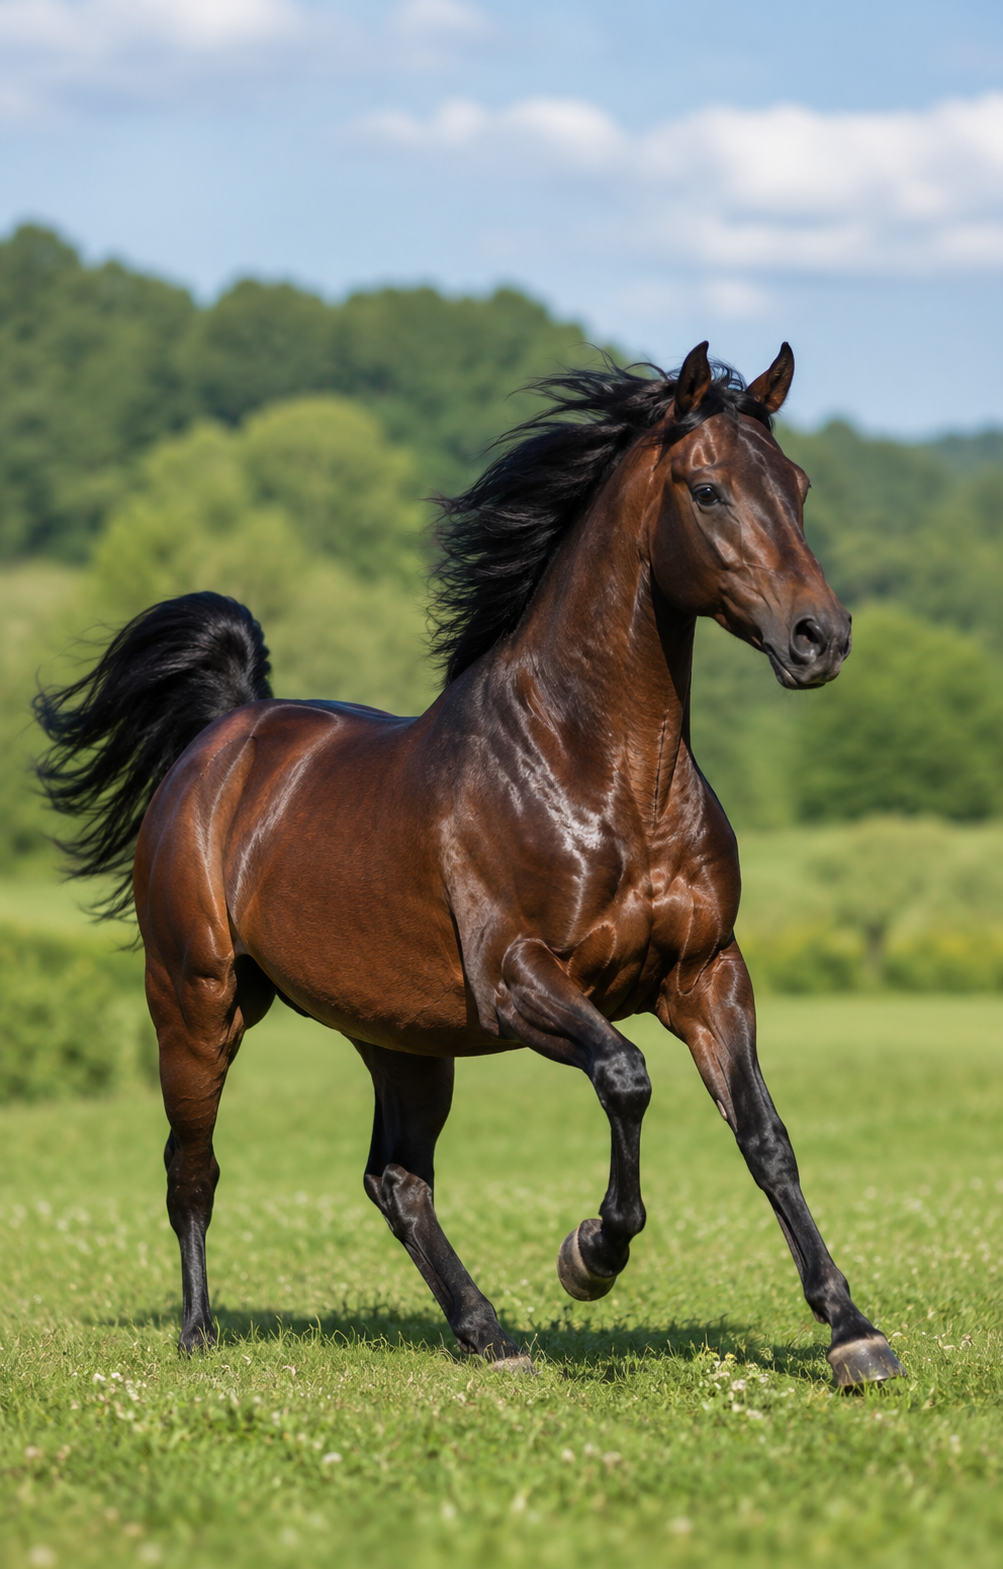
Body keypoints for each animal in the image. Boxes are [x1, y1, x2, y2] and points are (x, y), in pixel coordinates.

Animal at [36, 342, 905, 1387]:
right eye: (706, 489)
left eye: (798, 485)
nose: (821, 638)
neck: (602, 775)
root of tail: (223, 735)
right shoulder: (519, 979)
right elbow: (626, 1076)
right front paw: (589, 1254)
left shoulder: (706, 972)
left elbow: (765, 1137)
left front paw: (851, 1330)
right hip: (199, 1002)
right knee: (191, 1167)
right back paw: (200, 1334)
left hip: (400, 1037)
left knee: (395, 1179)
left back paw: (489, 1335)